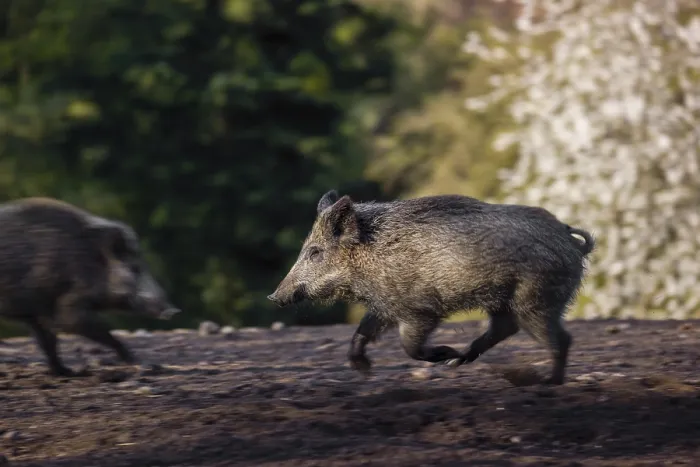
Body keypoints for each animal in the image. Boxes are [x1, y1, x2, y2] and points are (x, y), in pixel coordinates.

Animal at [0, 197, 180, 376]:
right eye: (134, 268)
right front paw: (143, 364)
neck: (92, 262)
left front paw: (67, 372)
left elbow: (48, 342)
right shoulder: (67, 303)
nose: (173, 311)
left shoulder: (38, 312)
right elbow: (80, 325)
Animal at [268, 190, 595, 385]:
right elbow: (361, 332)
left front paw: (441, 352)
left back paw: (547, 383)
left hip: (536, 300)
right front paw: (363, 370)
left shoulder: (419, 310)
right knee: (504, 329)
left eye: (315, 252)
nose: (274, 296)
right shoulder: (385, 306)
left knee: (560, 339)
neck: (368, 258)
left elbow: (409, 347)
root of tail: (572, 243)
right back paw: (457, 361)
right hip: (506, 302)